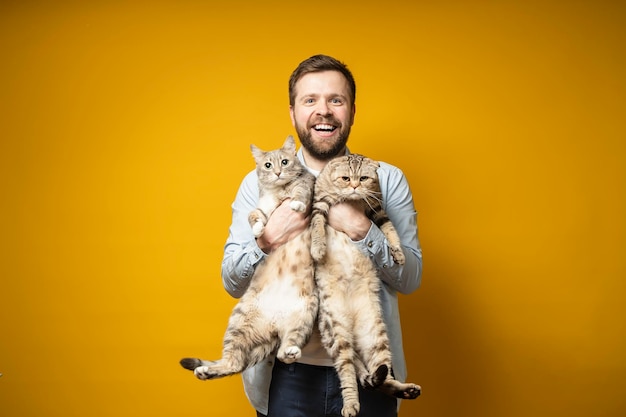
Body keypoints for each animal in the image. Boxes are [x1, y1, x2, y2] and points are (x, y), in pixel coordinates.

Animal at [179, 136, 316, 376]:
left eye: (285, 162)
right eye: (268, 165)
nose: (278, 172)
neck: (278, 190)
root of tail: (274, 325)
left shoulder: (307, 183)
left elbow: (300, 191)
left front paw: (296, 203)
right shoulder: (263, 206)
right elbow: (254, 214)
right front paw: (258, 230)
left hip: (305, 316)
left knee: (284, 349)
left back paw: (290, 351)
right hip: (238, 322)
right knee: (233, 363)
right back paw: (206, 371)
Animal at [308, 153, 420, 416]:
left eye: (364, 179)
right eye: (345, 178)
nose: (354, 187)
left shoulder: (377, 208)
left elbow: (391, 230)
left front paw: (398, 254)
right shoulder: (319, 204)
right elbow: (317, 226)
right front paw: (318, 248)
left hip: (375, 336)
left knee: (379, 376)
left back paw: (405, 389)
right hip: (336, 333)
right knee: (349, 373)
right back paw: (350, 404)